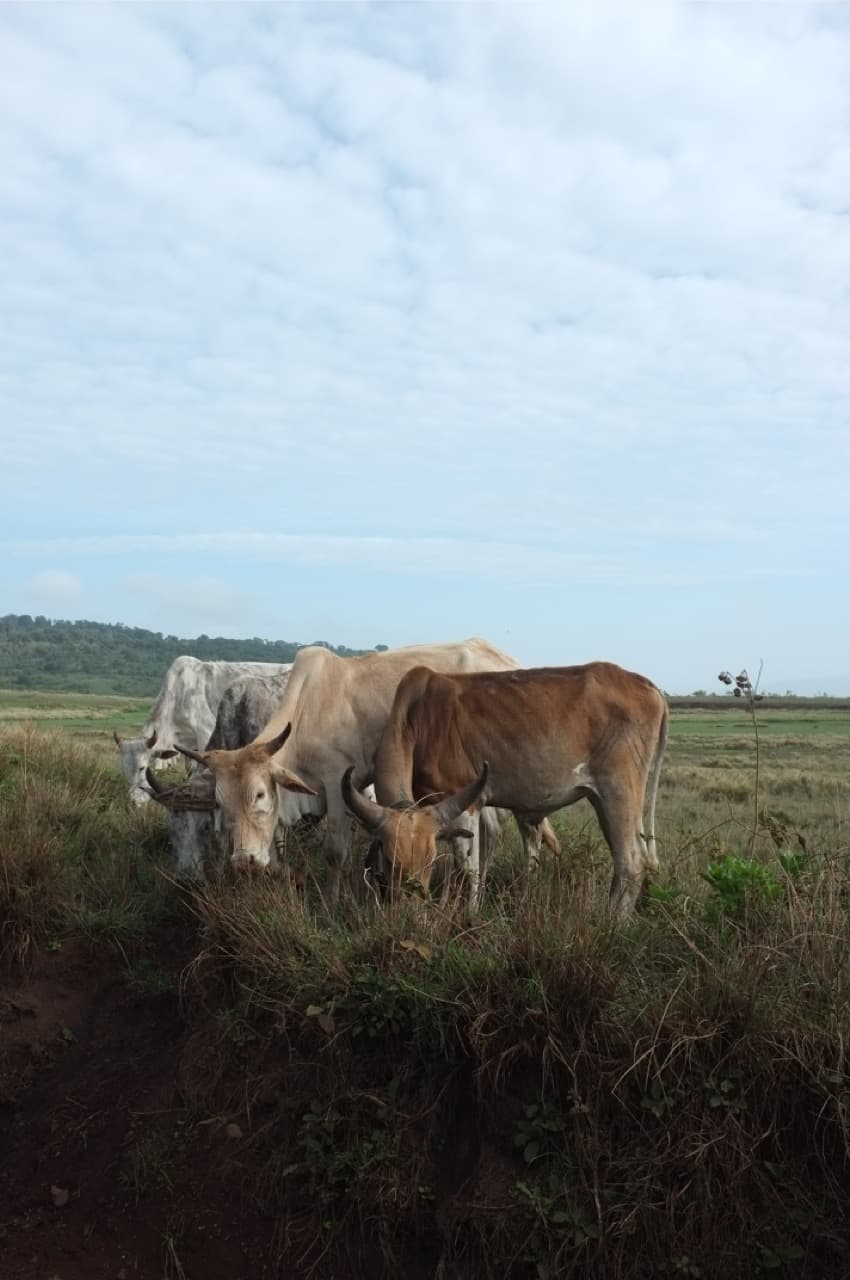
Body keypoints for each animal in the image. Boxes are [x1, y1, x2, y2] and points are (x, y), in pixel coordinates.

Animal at [167, 638, 552, 904]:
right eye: (221, 804)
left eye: (260, 795)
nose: (245, 861)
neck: (307, 710)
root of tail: (506, 658)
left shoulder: (338, 783)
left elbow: (336, 852)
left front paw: (334, 901)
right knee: (491, 831)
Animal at [341, 661, 668, 919]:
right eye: (388, 862)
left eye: (430, 861)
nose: (408, 915)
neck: (416, 719)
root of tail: (647, 685)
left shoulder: (464, 802)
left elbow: (469, 869)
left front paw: (469, 916)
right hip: (604, 801)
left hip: (619, 792)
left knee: (632, 862)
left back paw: (613, 924)